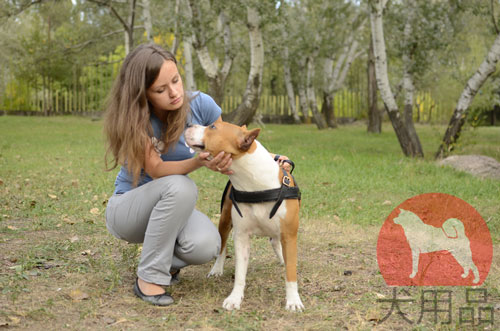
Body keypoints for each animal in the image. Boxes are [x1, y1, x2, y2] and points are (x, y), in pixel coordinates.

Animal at [185, 121, 304, 312]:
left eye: (212, 127)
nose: (189, 124)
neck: (255, 184)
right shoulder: (241, 236)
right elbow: (240, 272)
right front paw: (235, 298)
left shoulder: (289, 234)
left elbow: (291, 272)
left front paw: (293, 300)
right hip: (225, 221)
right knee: (222, 248)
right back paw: (217, 269)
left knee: (275, 241)